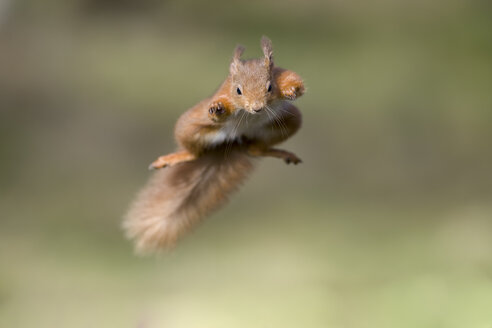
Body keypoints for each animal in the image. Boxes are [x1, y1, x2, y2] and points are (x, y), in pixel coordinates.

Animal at [124, 36, 304, 254]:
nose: (257, 108)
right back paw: (176, 157)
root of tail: (237, 140)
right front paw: (218, 108)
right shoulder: (225, 94)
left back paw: (280, 152)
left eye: (269, 87)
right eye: (238, 90)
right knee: (196, 153)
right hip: (188, 127)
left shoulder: (281, 74)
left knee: (256, 149)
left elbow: (296, 81)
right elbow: (221, 106)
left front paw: (290, 90)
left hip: (291, 121)